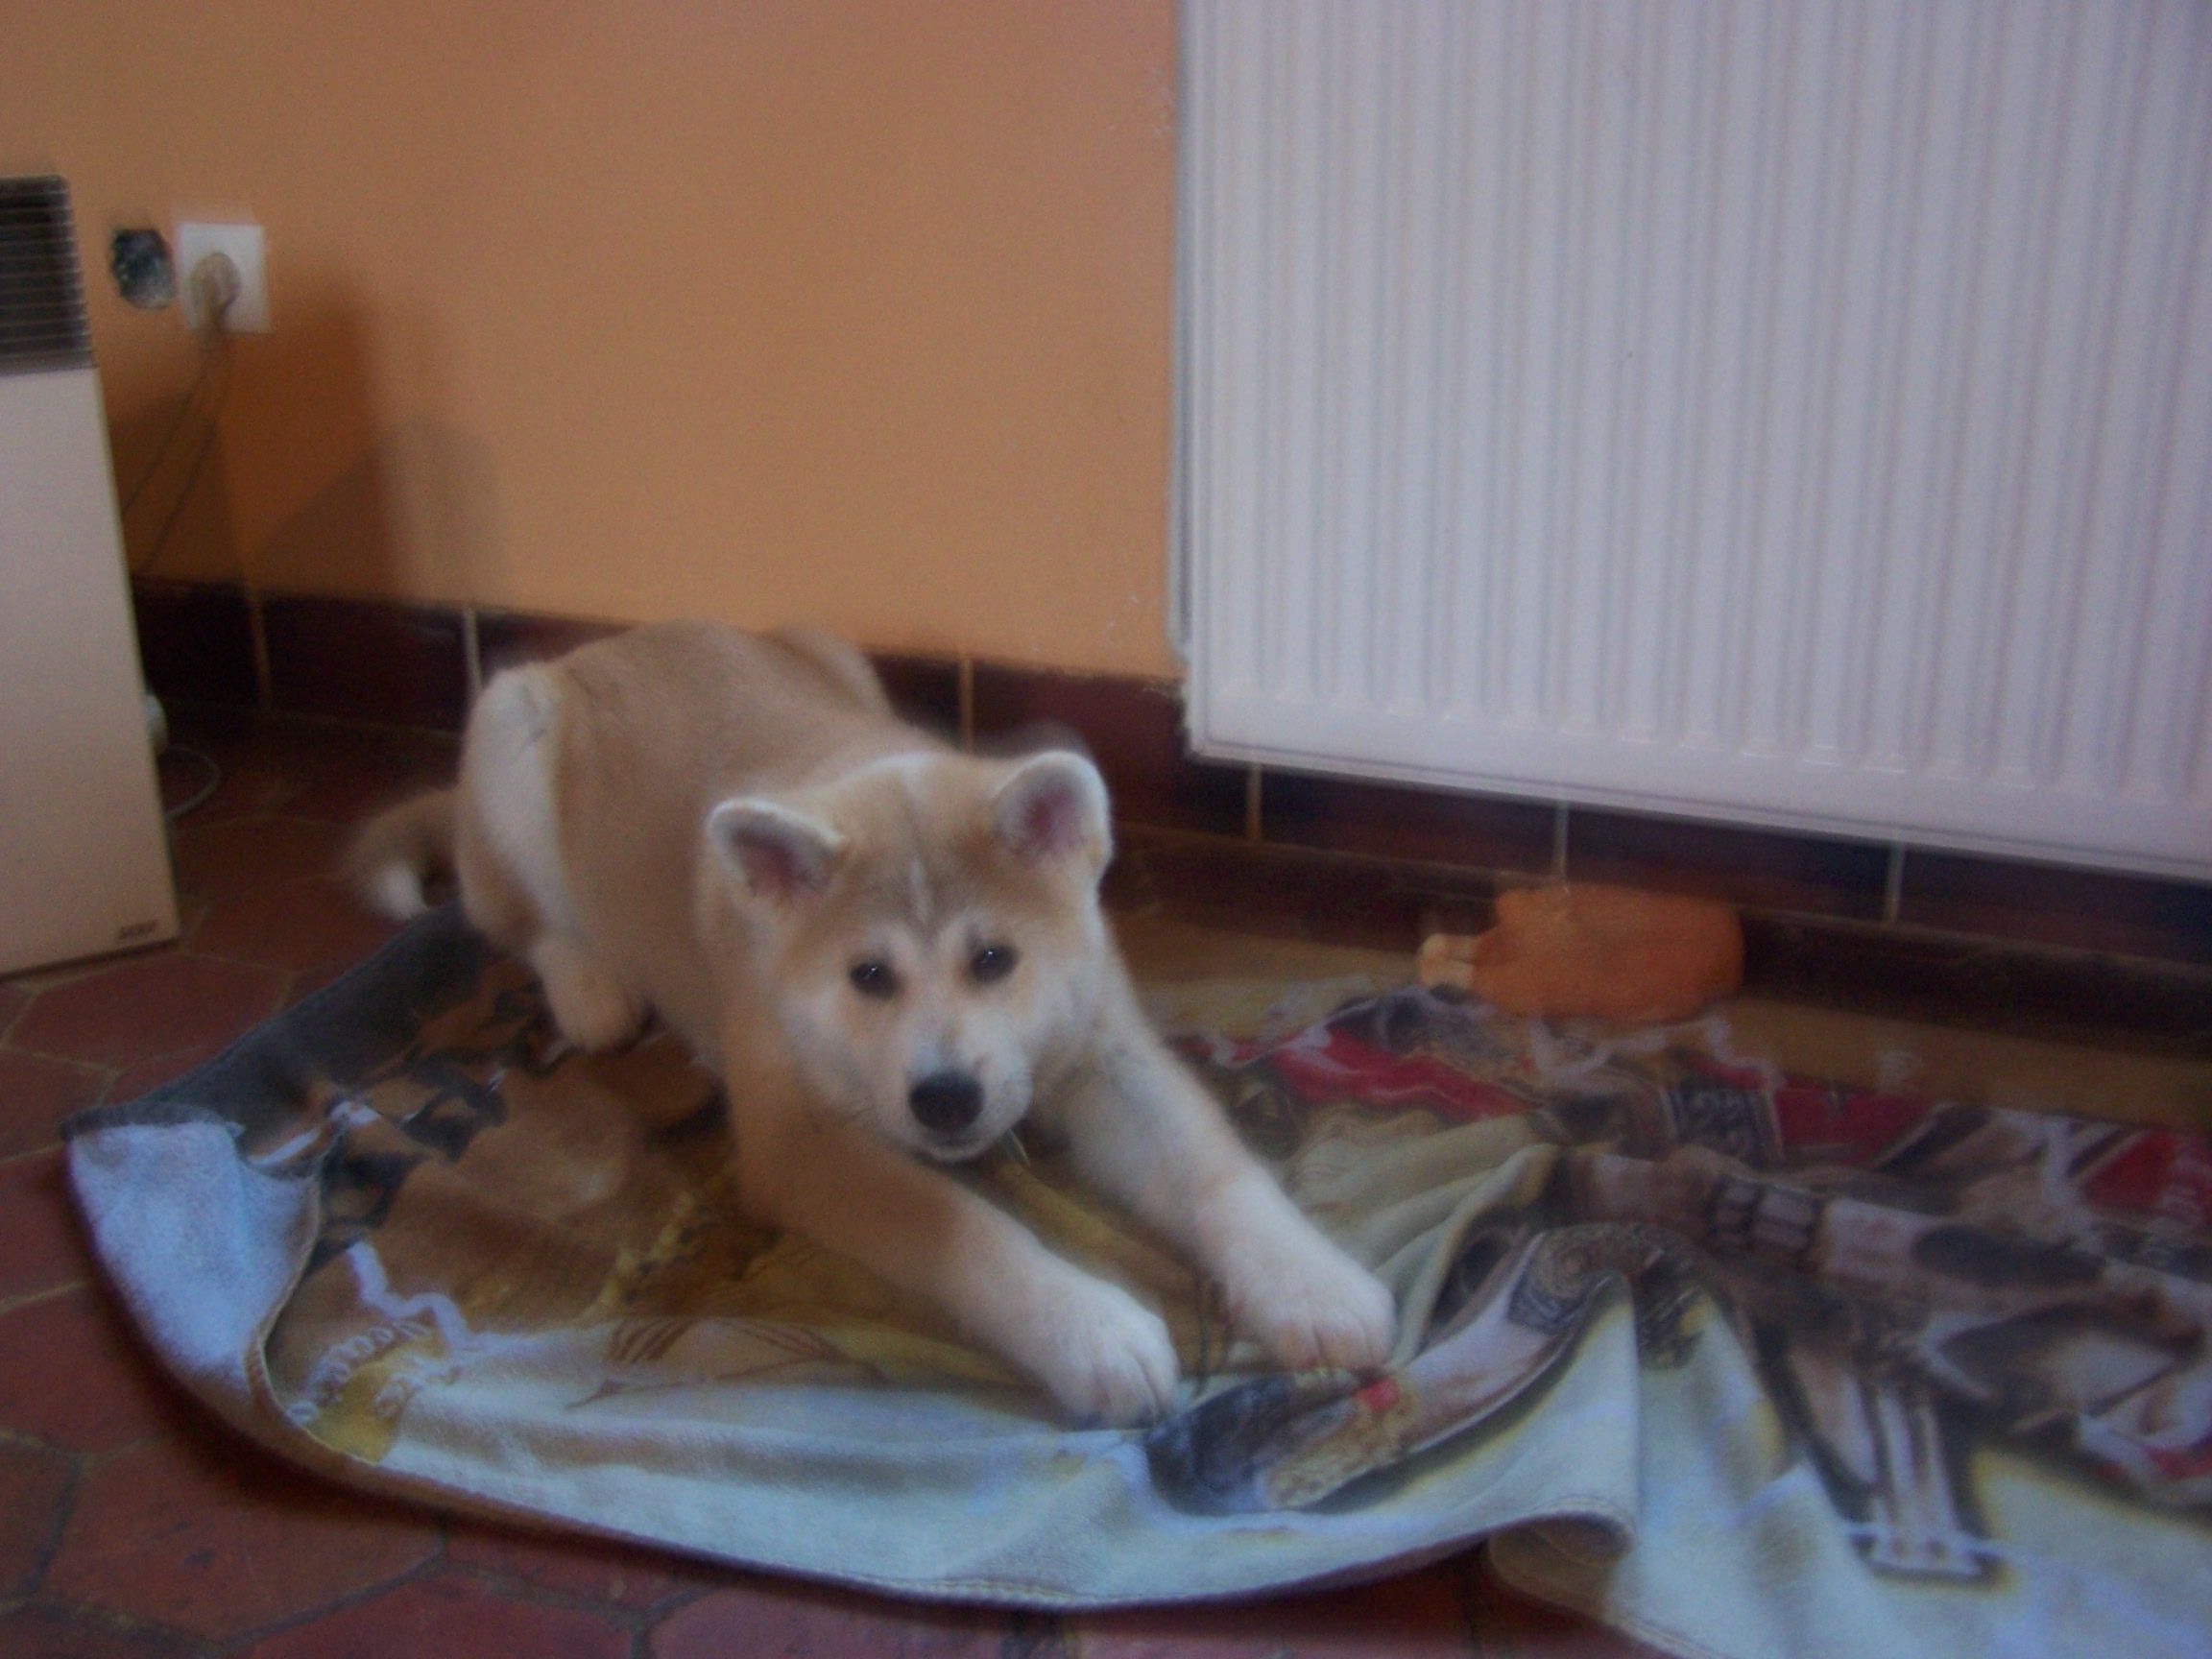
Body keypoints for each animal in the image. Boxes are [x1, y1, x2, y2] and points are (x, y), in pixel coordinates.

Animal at [349, 620, 1395, 1422]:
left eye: (993, 960)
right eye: (868, 976)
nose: (945, 1100)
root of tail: (608, 641)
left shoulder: (1105, 1056)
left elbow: (1217, 1173)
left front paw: (1313, 1283)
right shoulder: (800, 1140)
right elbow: (962, 1227)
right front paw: (1090, 1329)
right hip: (509, 732)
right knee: (520, 920)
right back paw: (590, 987)